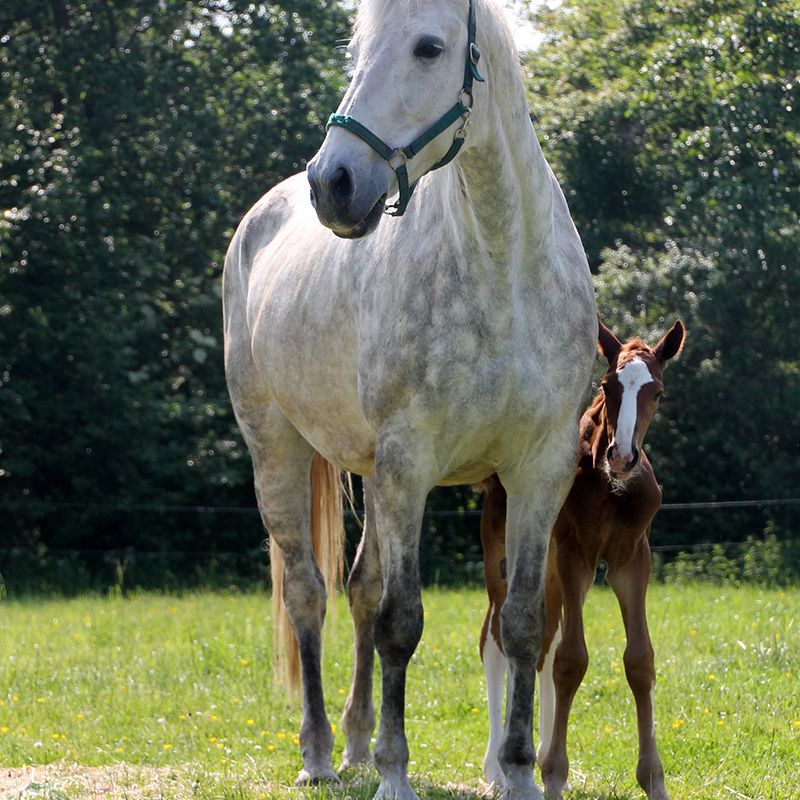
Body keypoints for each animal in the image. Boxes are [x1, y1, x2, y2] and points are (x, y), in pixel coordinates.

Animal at [478, 318, 684, 800]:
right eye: (609, 385)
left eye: (658, 392)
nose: (622, 456)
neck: (610, 488)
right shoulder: (576, 555)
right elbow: (572, 659)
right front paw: (552, 773)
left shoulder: (631, 559)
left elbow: (639, 660)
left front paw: (653, 778)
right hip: (504, 556)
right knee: (495, 640)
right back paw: (498, 770)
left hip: (549, 572)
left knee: (541, 644)